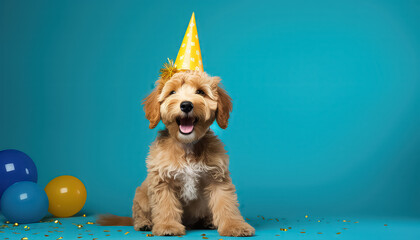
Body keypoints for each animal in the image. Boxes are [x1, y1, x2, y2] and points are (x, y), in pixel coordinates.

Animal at [97, 70, 256, 236]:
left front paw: (235, 226)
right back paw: (144, 223)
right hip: (141, 195)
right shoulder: (162, 179)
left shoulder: (217, 177)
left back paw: (208, 221)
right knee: (139, 213)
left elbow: (226, 203)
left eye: (201, 92)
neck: (187, 145)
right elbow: (165, 205)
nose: (186, 105)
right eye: (172, 92)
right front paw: (168, 226)